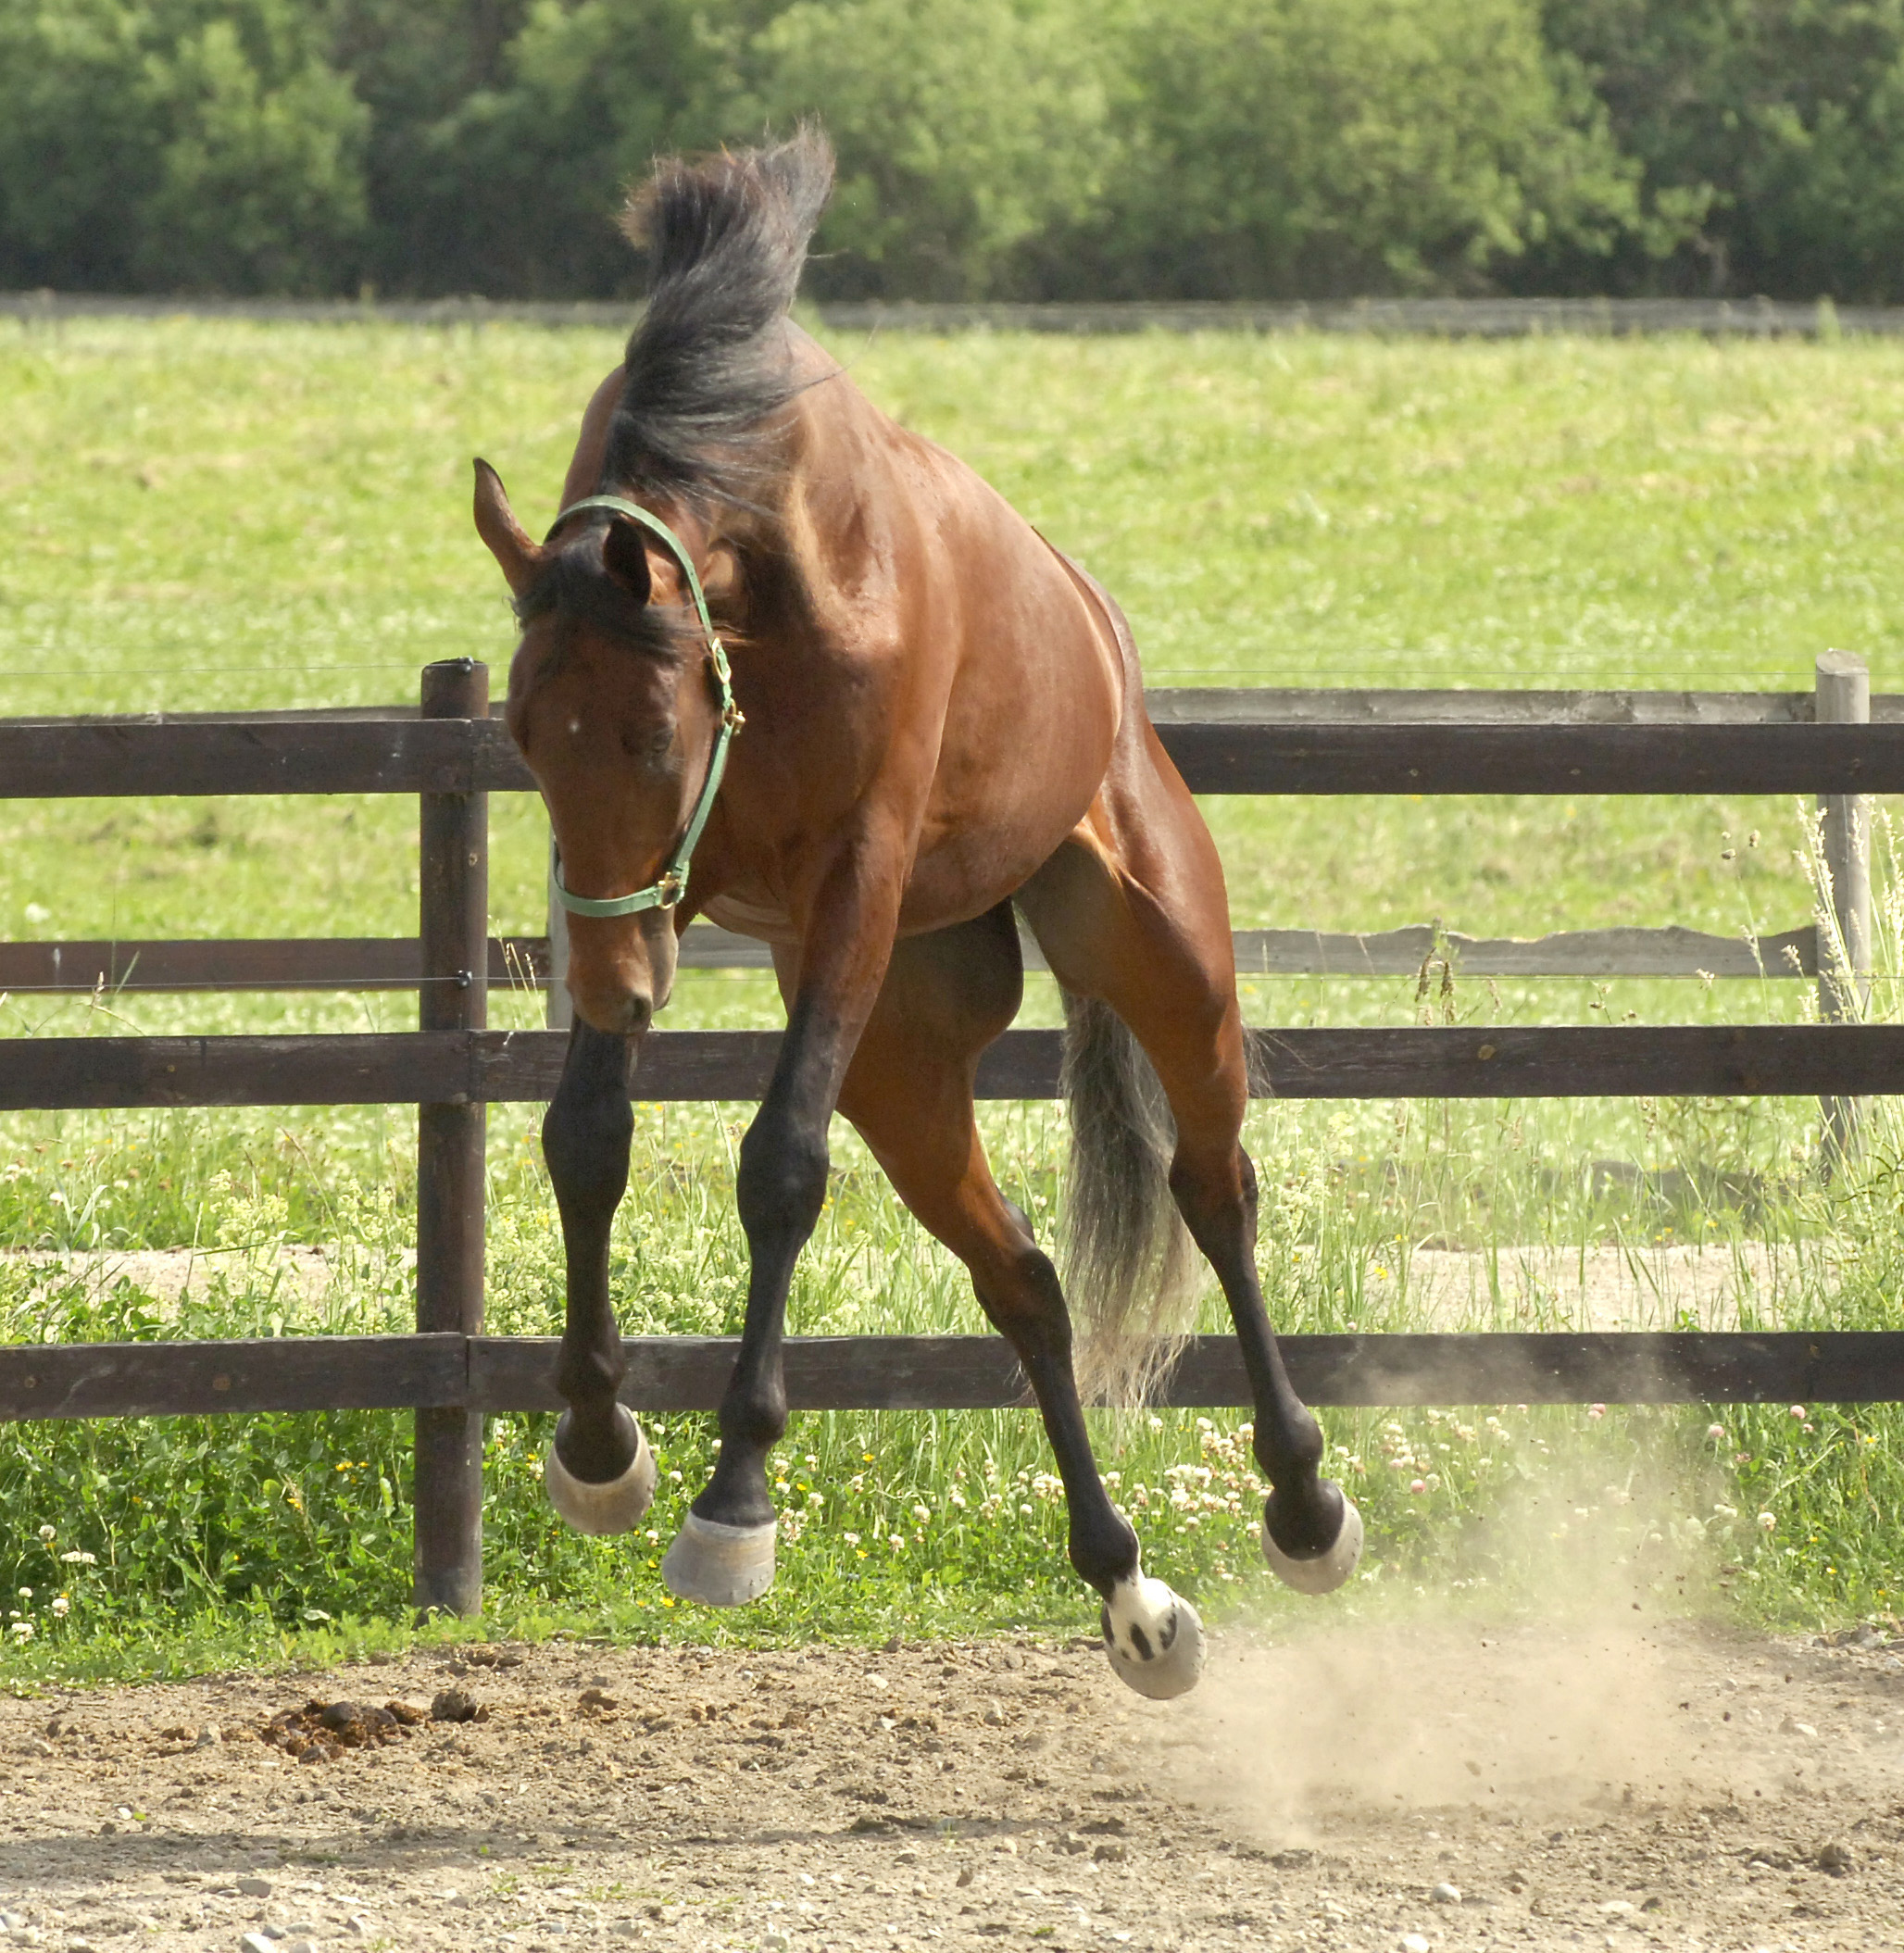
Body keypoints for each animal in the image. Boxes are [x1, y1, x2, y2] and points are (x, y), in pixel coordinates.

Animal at [476, 133, 1367, 1695]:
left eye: (649, 734)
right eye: (527, 735)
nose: (622, 983)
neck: (772, 560)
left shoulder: (856, 886)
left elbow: (778, 1165)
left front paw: (734, 1499)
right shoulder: (675, 899)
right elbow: (586, 1138)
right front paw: (597, 1443)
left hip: (1165, 967)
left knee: (1214, 1190)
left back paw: (1303, 1501)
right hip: (904, 1054)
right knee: (1026, 1280)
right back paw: (1128, 1589)